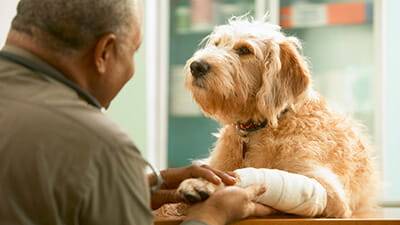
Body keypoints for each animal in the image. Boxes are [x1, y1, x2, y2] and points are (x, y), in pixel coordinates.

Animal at [174, 16, 378, 219]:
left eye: (244, 50)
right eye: (216, 44)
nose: (196, 66)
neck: (260, 126)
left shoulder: (326, 190)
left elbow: (237, 176)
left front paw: (203, 184)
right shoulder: (216, 163)